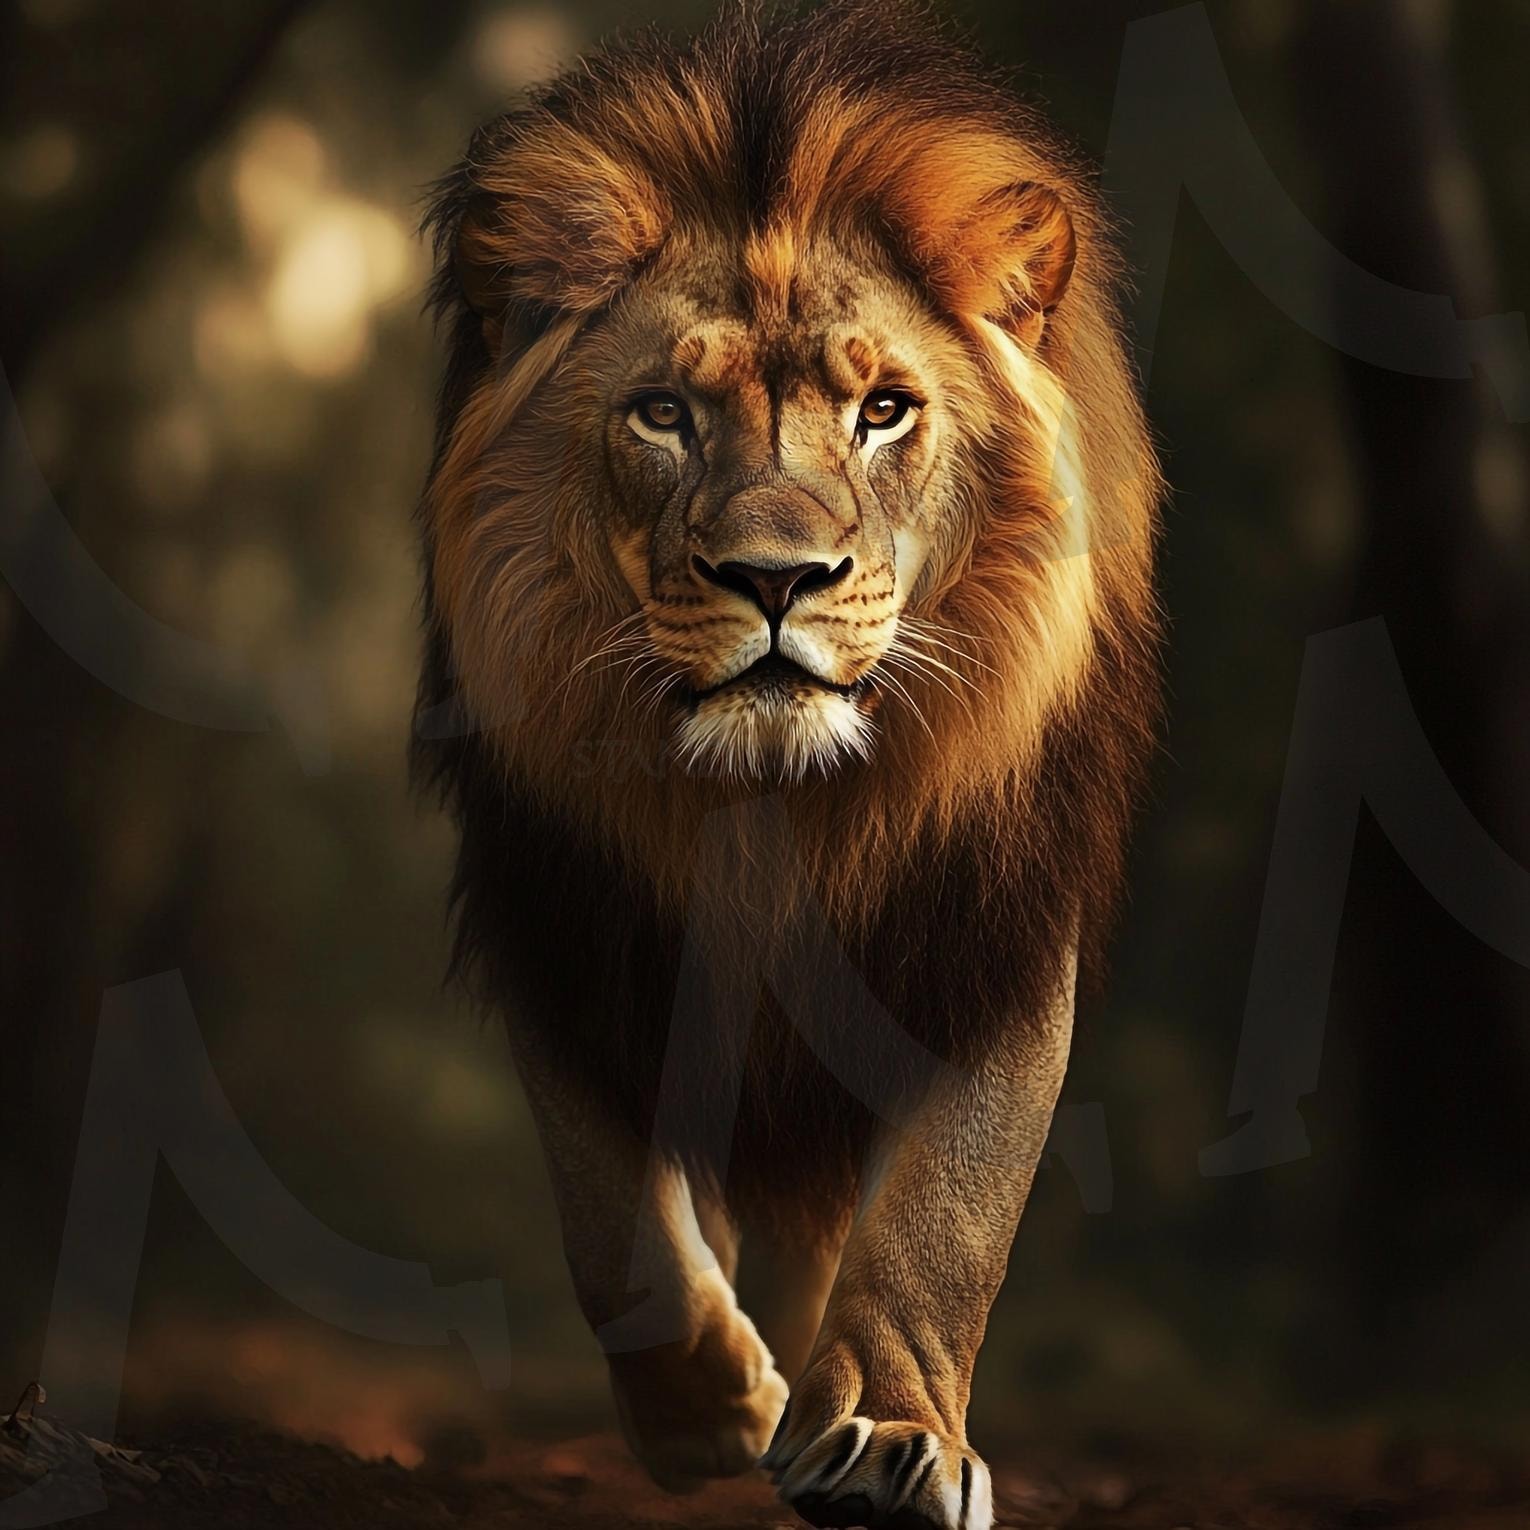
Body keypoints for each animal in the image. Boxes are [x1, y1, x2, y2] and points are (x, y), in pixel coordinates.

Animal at [413, 5, 1160, 1526]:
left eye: (883, 411)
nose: (774, 579)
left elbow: (946, 1213)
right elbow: (608, 1216)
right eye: (660, 414)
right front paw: (709, 1411)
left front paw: (883, 1431)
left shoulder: (987, 932)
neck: (769, 806)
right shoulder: (562, 919)